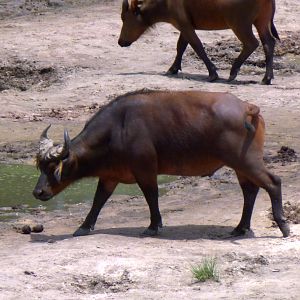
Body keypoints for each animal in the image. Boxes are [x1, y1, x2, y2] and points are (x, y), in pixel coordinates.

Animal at [34, 90, 290, 238]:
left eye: (54, 168)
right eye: (40, 167)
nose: (38, 192)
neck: (118, 128)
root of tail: (247, 107)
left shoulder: (145, 169)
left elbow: (151, 196)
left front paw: (153, 226)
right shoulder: (110, 176)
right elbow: (99, 200)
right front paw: (84, 227)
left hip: (245, 160)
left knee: (273, 182)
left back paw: (283, 226)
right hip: (239, 165)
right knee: (250, 190)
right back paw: (240, 228)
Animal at [118, 0, 280, 84]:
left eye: (124, 17)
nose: (120, 42)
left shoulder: (184, 24)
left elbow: (197, 46)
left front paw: (213, 74)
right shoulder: (184, 25)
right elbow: (181, 46)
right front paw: (173, 69)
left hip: (240, 24)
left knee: (252, 43)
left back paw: (233, 72)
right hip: (261, 21)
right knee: (269, 42)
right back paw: (267, 78)